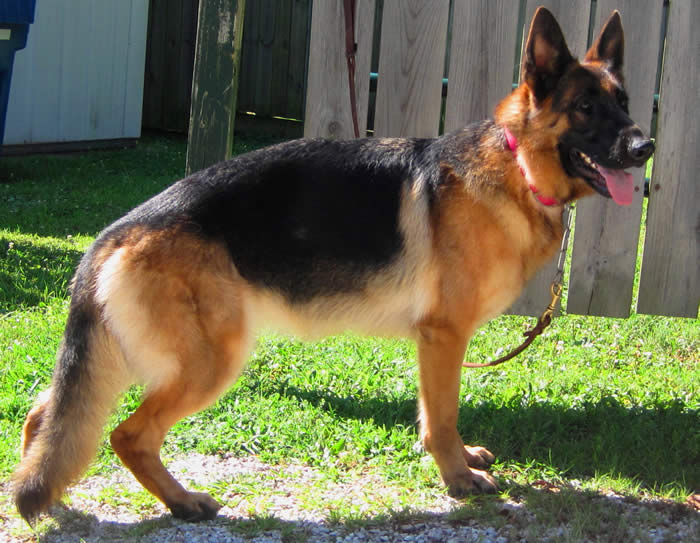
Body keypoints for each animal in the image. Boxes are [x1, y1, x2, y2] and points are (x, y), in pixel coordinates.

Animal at [13, 7, 654, 523]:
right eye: (586, 108)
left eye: (624, 103)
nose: (645, 147)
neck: (515, 165)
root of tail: (112, 234)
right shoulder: (444, 337)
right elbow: (443, 415)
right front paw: (457, 478)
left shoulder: (436, 344)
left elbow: (432, 414)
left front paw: (457, 462)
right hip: (206, 362)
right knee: (126, 435)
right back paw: (183, 501)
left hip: (129, 359)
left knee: (47, 417)